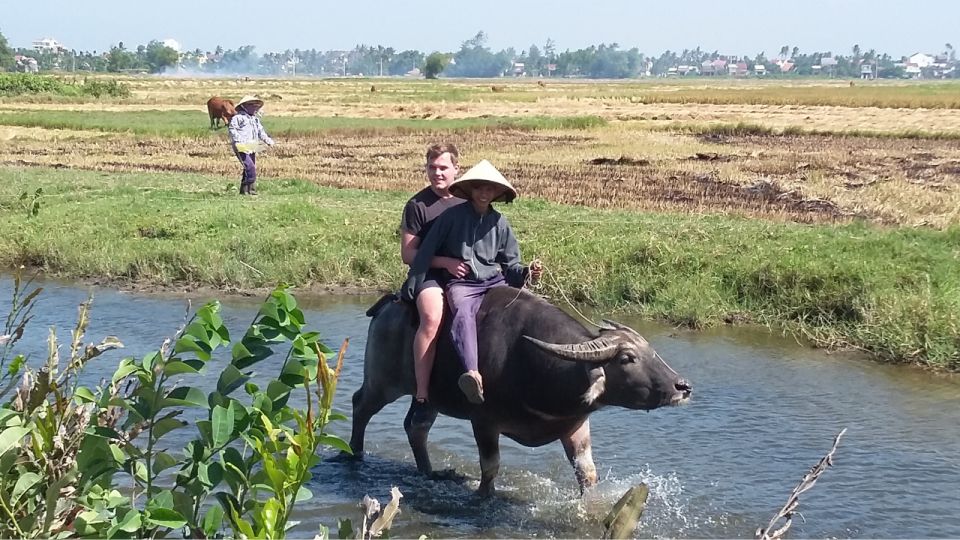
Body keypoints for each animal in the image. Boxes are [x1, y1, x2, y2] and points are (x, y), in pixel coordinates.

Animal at [350, 286, 688, 498]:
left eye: (650, 350)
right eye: (627, 358)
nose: (682, 387)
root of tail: (387, 305)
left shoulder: (575, 425)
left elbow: (587, 473)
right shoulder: (484, 422)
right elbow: (490, 467)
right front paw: (484, 496)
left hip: (427, 396)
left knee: (416, 427)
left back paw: (430, 472)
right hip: (383, 382)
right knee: (360, 405)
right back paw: (354, 454)